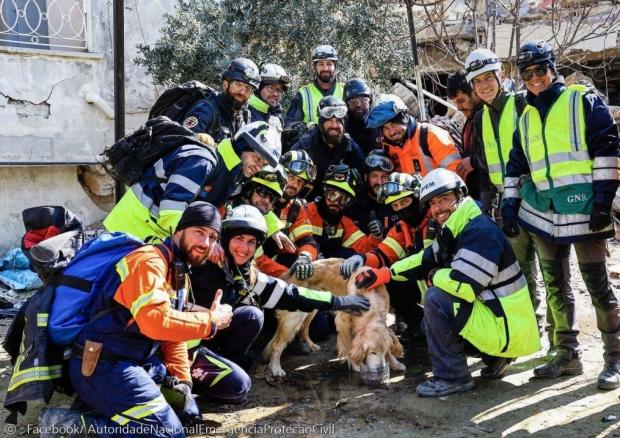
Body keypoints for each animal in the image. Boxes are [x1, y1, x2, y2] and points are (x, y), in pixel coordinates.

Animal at [262, 258, 404, 382]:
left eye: (385, 352)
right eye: (373, 353)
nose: (380, 370)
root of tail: (296, 269)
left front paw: (395, 363)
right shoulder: (342, 321)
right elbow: (349, 344)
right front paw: (355, 364)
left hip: (312, 307)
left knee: (304, 329)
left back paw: (311, 345)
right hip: (295, 315)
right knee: (277, 344)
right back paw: (275, 368)